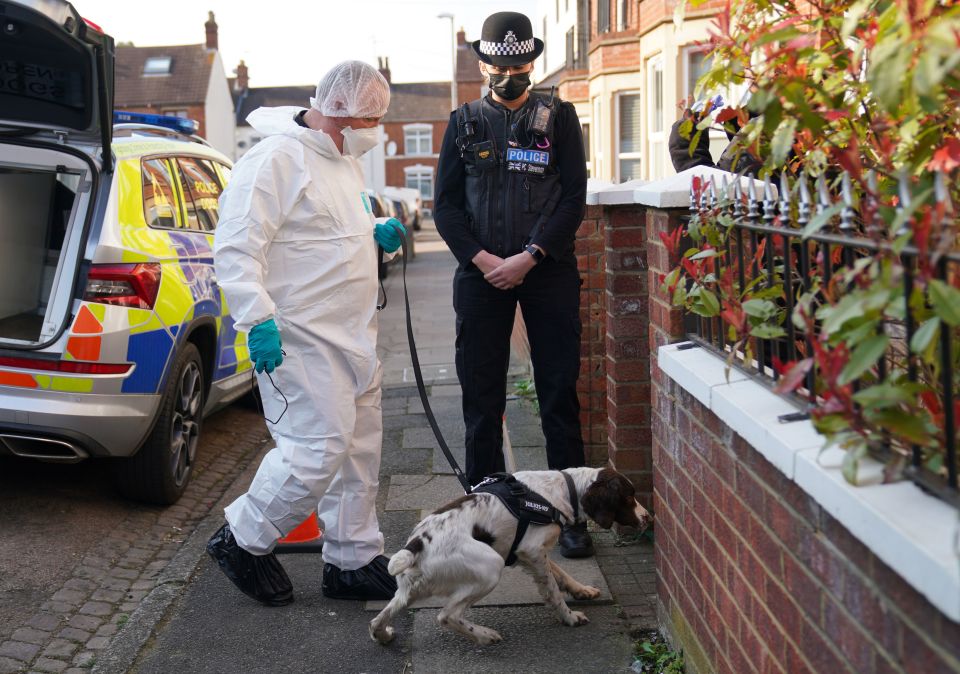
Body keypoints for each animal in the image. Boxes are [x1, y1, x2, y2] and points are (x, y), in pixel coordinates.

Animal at [368, 464, 652, 644]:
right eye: (629, 497)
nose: (648, 517)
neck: (559, 490)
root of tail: (417, 544)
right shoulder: (532, 550)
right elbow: (553, 589)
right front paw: (569, 617)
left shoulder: (528, 552)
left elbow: (560, 574)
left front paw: (582, 590)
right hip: (491, 566)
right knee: (447, 615)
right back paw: (485, 636)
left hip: (409, 590)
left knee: (376, 621)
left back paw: (383, 636)